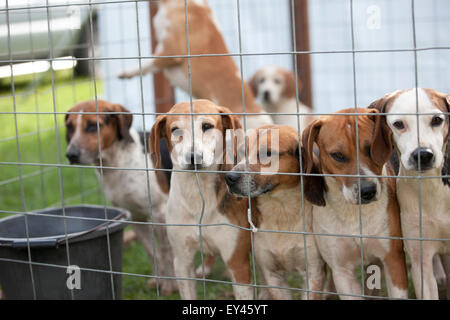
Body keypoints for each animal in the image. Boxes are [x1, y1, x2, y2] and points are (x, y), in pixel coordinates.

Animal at [64, 100, 177, 296]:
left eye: (93, 126)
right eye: (69, 127)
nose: (71, 154)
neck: (118, 163)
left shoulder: (160, 213)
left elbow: (166, 251)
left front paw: (170, 286)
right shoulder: (135, 217)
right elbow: (152, 252)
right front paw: (159, 281)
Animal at [150, 100, 256, 300]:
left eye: (207, 126)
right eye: (175, 130)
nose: (194, 157)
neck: (197, 193)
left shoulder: (238, 263)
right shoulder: (182, 261)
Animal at [300, 107, 410, 300]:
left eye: (371, 148)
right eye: (337, 156)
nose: (367, 191)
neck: (352, 212)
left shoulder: (393, 259)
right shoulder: (342, 271)